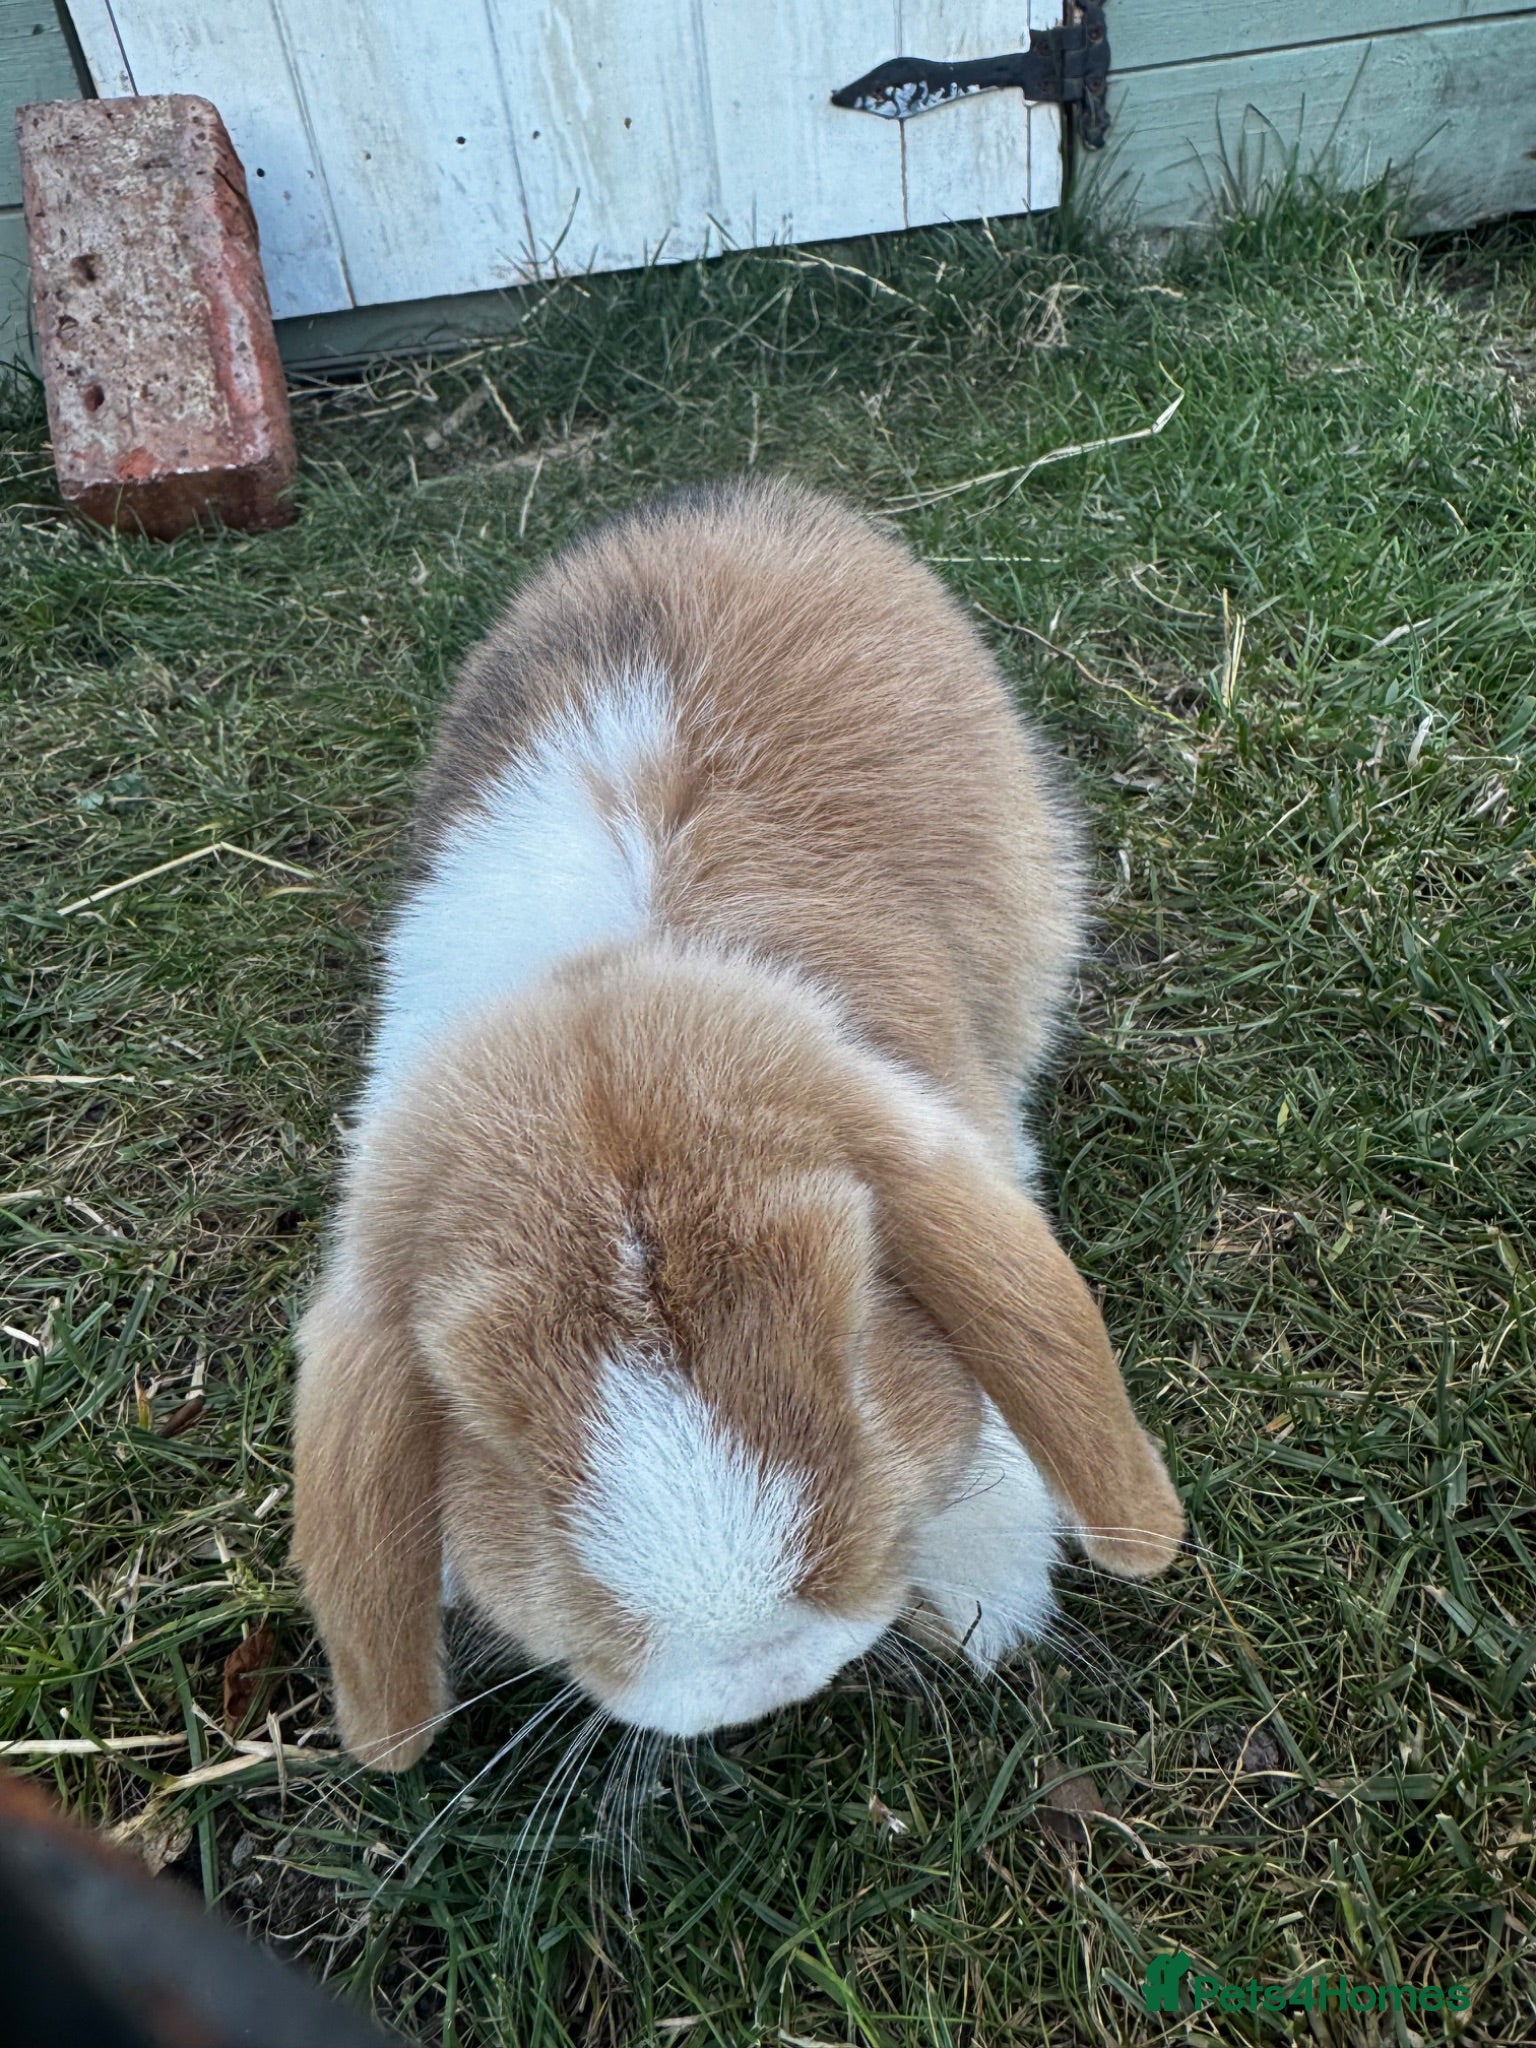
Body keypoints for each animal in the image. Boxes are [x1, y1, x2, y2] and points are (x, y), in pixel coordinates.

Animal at [292, 478, 1184, 1769]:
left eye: (859, 1333)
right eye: (498, 1446)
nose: (759, 1664)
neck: (605, 984)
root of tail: (734, 500)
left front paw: (985, 1601)